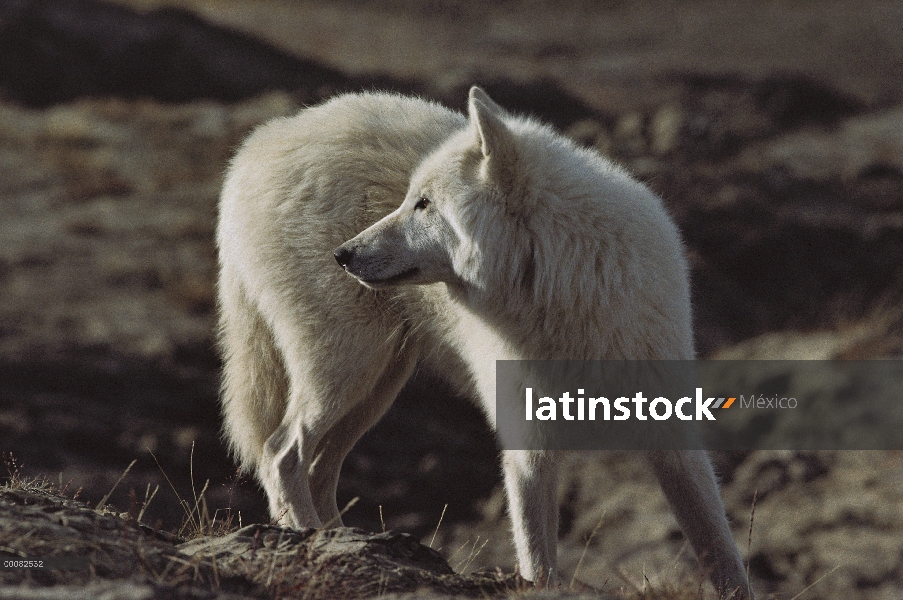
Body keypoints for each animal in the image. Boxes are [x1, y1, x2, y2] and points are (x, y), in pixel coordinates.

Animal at [215, 86, 752, 596]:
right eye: (410, 198)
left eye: (423, 203)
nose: (342, 255)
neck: (560, 291)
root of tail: (256, 146)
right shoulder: (527, 447)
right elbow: (538, 560)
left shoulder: (673, 436)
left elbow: (721, 549)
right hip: (347, 369)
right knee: (281, 452)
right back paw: (309, 537)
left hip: (376, 384)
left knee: (316, 467)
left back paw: (338, 539)